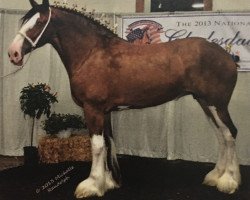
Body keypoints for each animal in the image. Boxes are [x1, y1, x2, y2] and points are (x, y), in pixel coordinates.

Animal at [8, 0, 241, 198]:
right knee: (221, 135)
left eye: (38, 22)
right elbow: (107, 143)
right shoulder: (104, 111)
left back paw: (228, 181)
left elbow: (97, 146)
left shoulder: (93, 109)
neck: (92, 54)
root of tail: (228, 56)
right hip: (205, 103)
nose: (13, 53)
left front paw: (92, 185)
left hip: (217, 104)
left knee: (230, 134)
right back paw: (216, 176)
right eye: (24, 21)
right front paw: (108, 182)